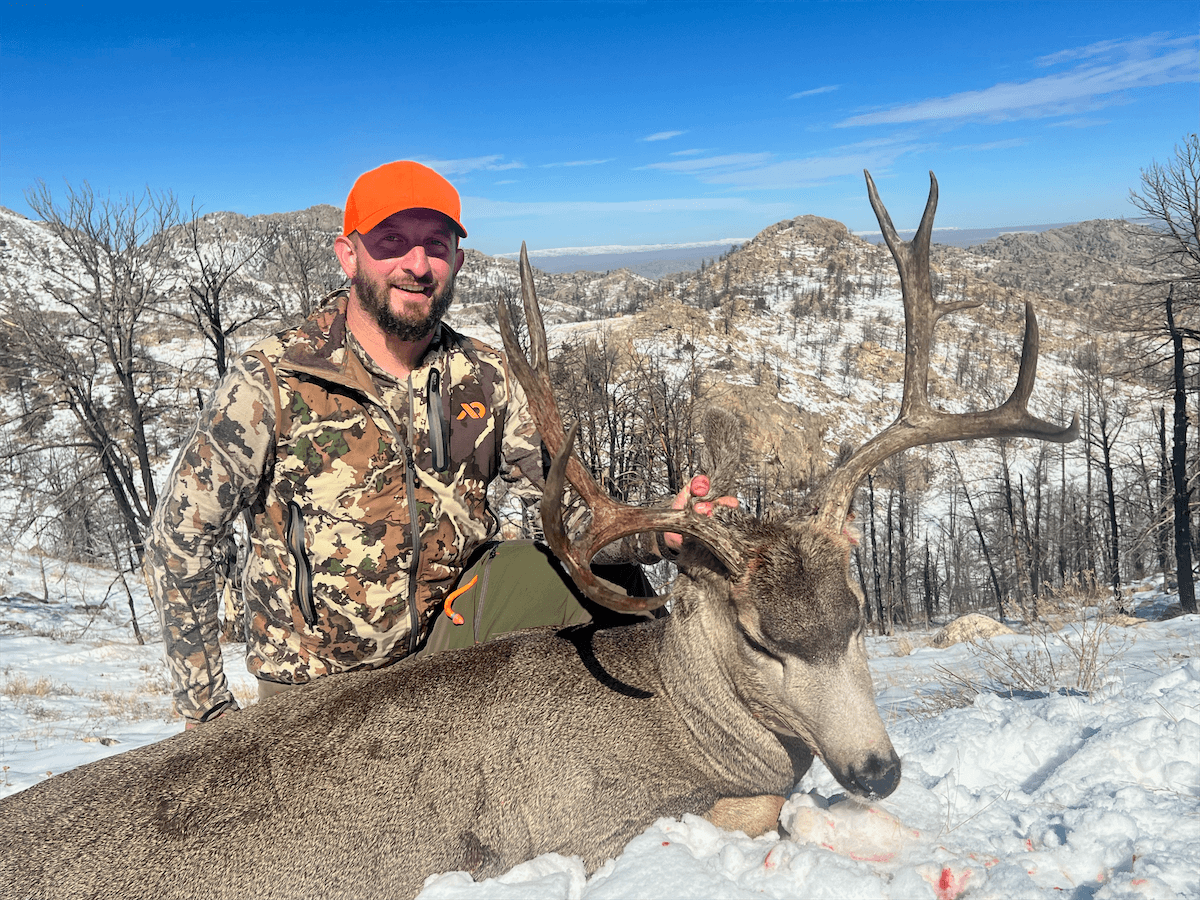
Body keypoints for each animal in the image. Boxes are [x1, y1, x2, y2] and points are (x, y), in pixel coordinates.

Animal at [0, 171, 1077, 900]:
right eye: (760, 638)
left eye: (857, 613)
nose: (876, 769)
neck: (675, 717)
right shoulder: (588, 827)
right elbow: (756, 813)